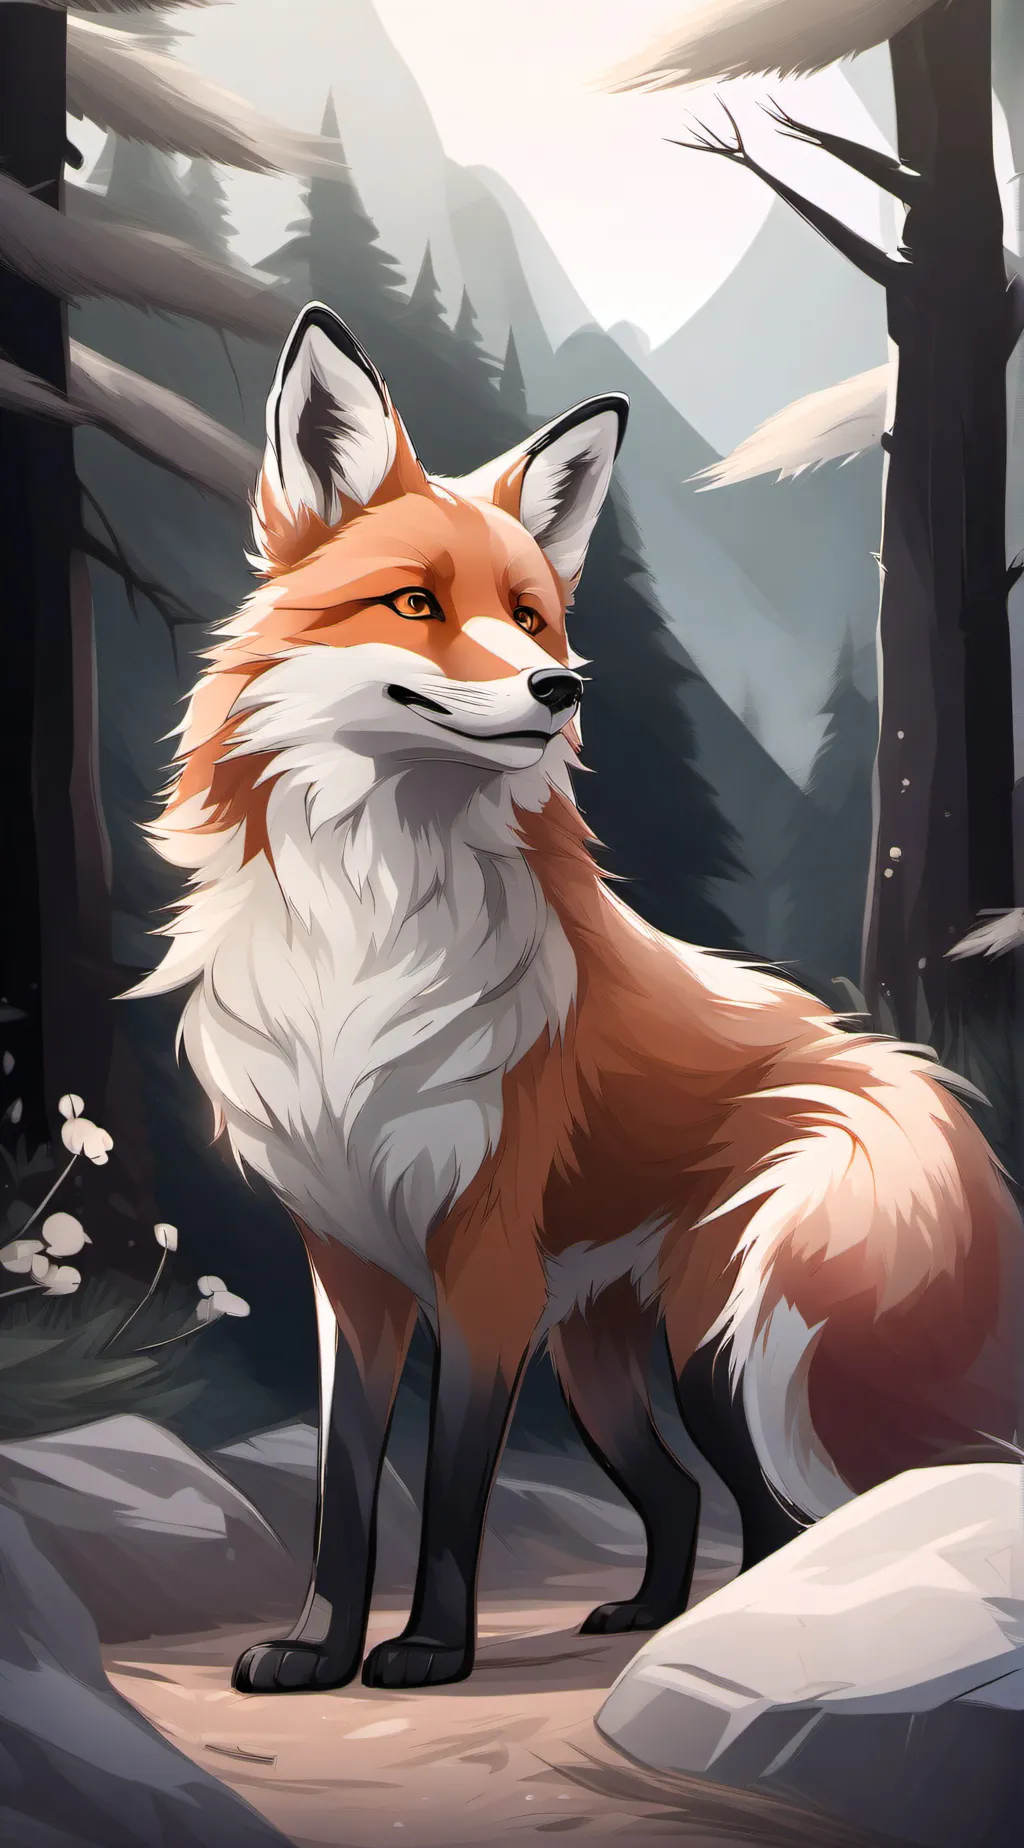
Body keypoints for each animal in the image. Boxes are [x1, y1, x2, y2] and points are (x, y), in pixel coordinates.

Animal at [135, 302, 1022, 1694]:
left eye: (534, 617)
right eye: (415, 602)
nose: (563, 691)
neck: (364, 940)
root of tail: (908, 1073)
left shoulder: (483, 1268)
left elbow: (450, 1491)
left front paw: (428, 1651)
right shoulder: (352, 1270)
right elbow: (345, 1490)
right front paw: (318, 1650)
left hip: (729, 1342)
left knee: (775, 1512)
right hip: (602, 1356)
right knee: (684, 1497)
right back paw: (653, 1616)